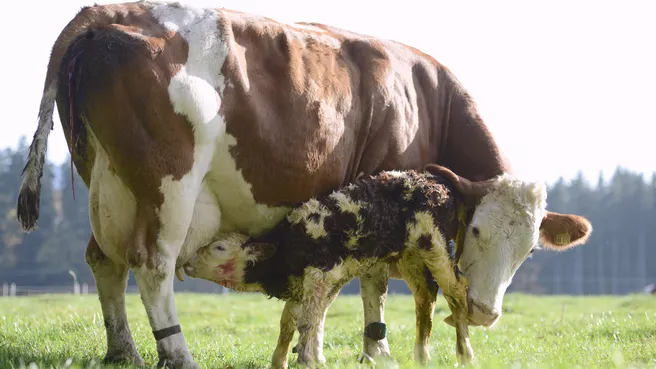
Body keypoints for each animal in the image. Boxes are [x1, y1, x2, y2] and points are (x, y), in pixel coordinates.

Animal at [15, 1, 588, 366]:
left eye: (530, 251)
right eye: (476, 232)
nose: (485, 312)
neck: (423, 99)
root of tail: (107, 14)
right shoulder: (379, 201)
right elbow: (373, 282)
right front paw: (375, 349)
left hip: (107, 181)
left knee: (104, 261)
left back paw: (122, 350)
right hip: (166, 186)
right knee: (152, 265)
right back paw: (177, 354)